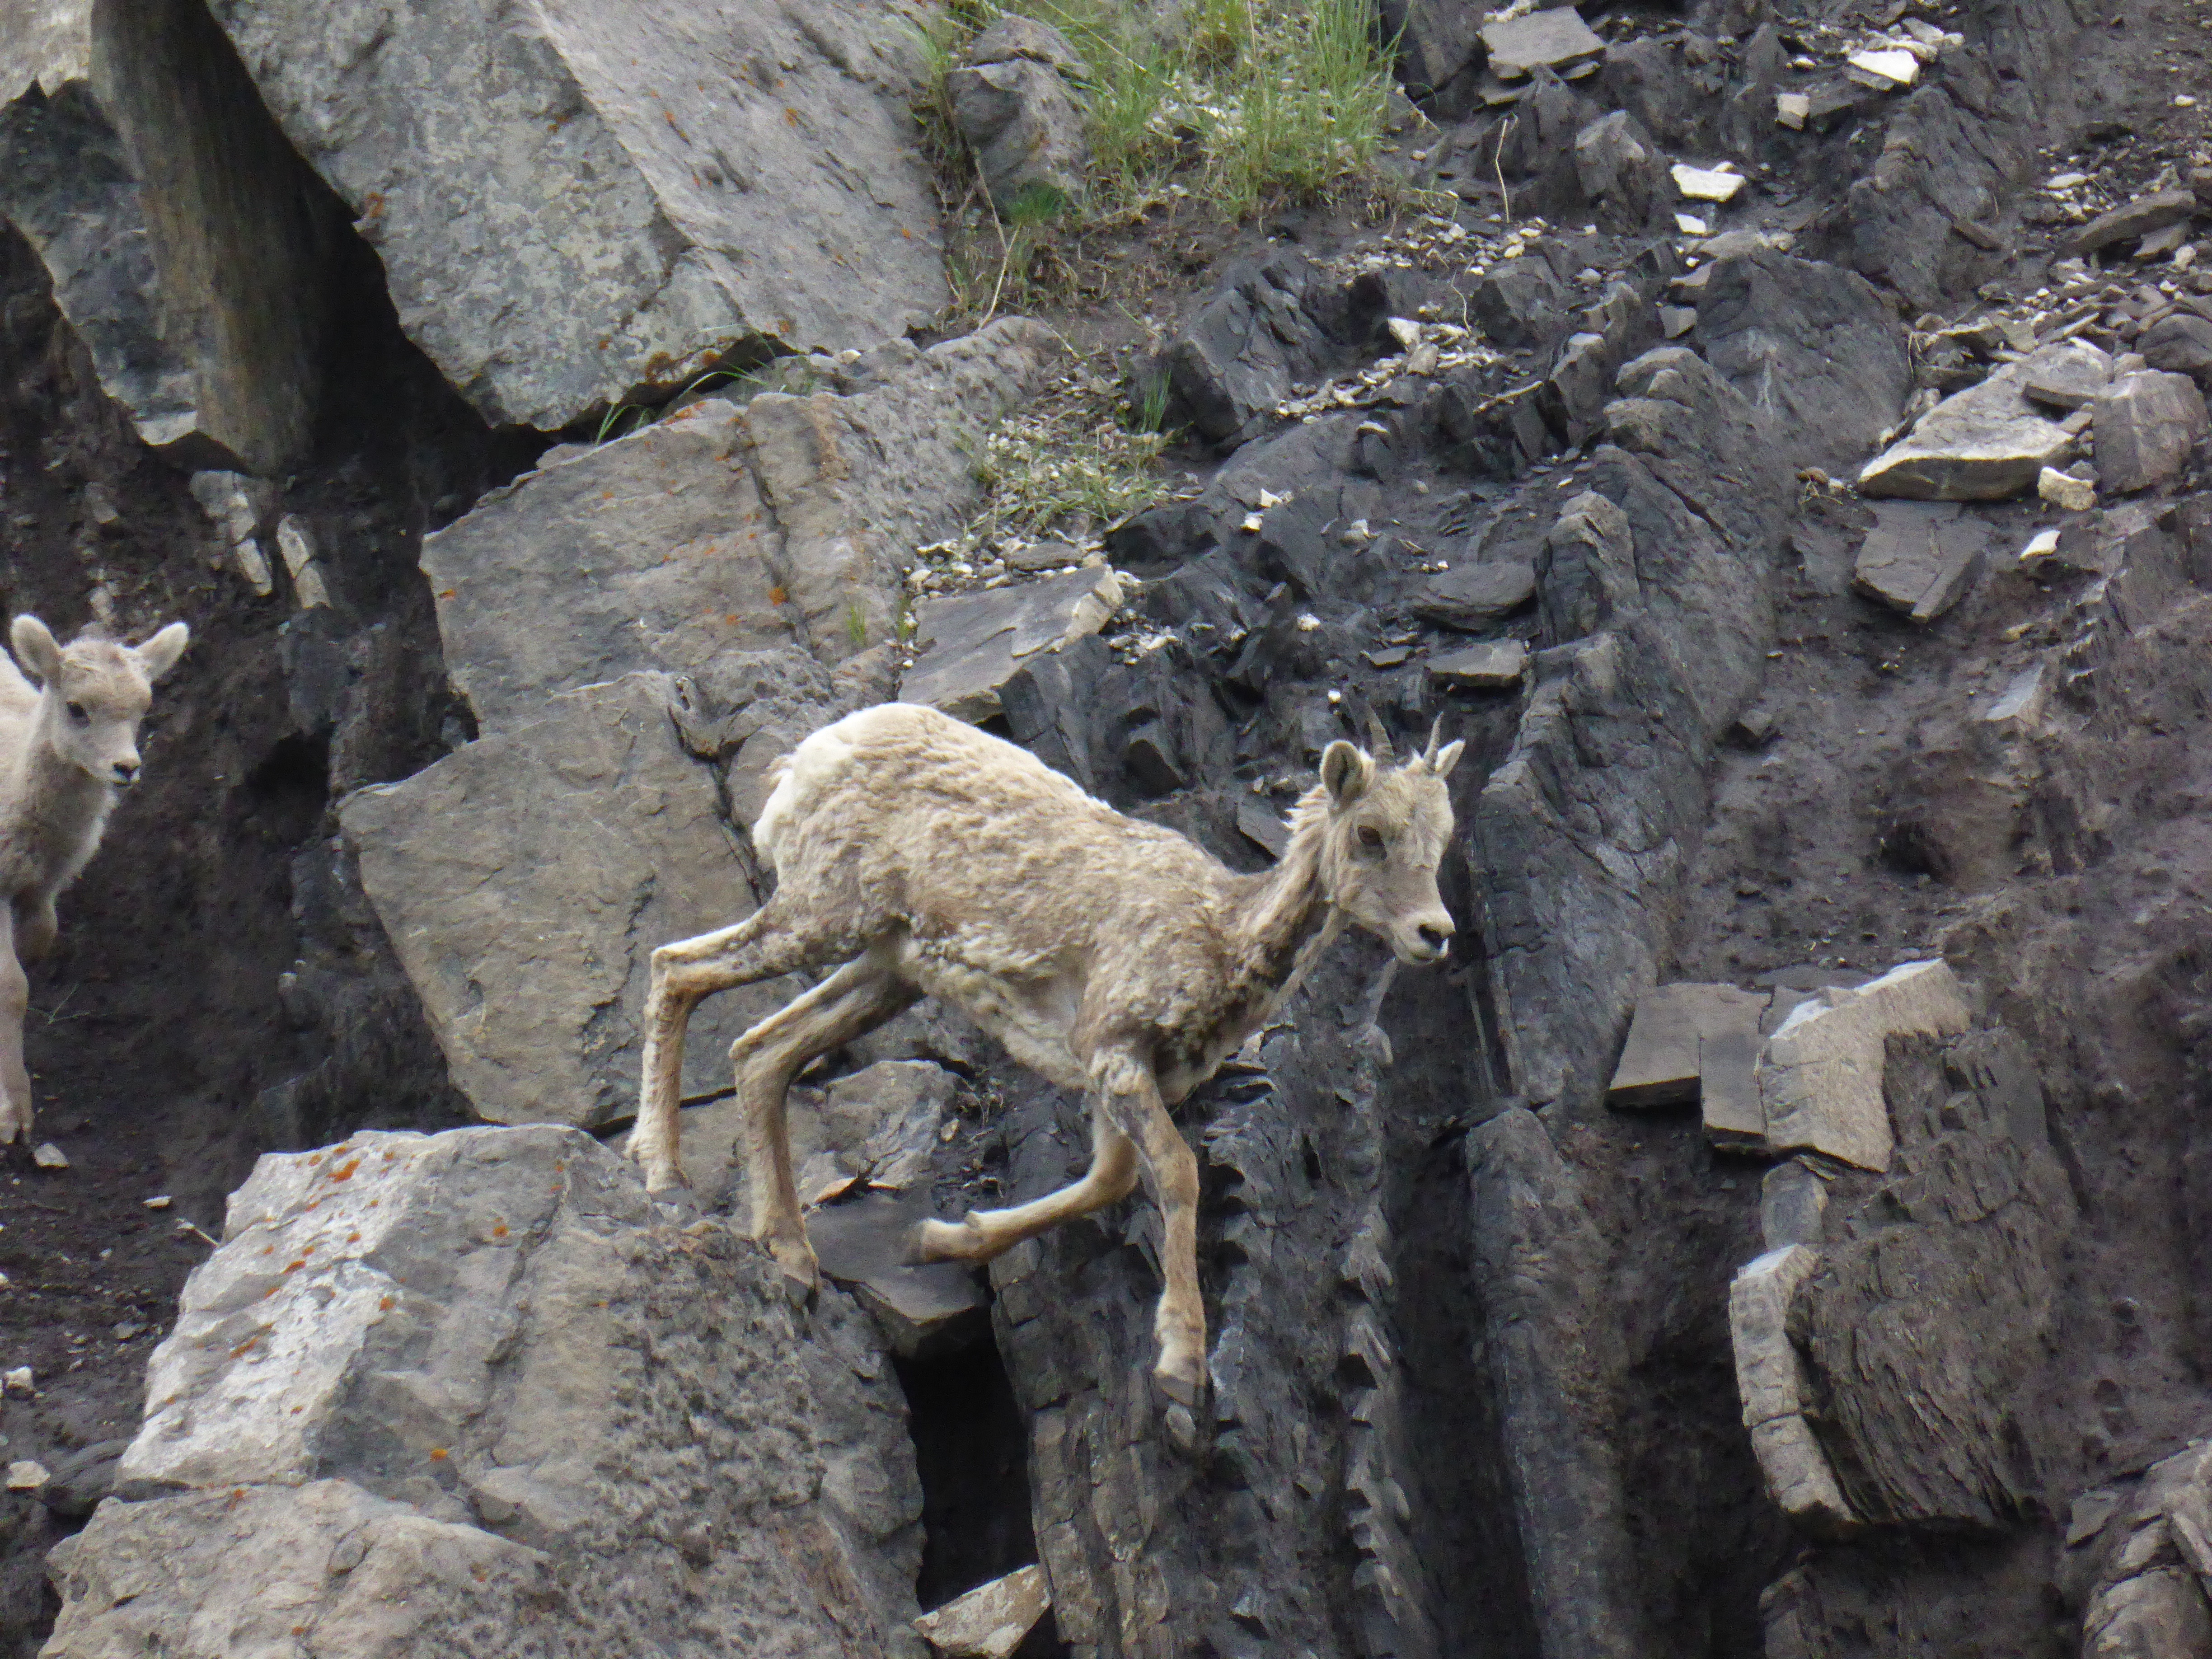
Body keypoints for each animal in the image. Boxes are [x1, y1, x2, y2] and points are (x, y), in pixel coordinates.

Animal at [2, 619, 190, 1150]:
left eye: (144, 708)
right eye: (76, 708)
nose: (127, 768)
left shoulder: (40, 890)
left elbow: (34, 956)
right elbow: (11, 987)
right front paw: (13, 1114)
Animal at [637, 703, 1468, 1415]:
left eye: (1443, 838)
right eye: (1370, 832)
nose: (1434, 932)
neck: (1220, 940)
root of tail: (807, 759)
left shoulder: (1119, 1080)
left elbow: (1109, 1182)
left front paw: (939, 1238)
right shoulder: (1112, 1051)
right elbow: (1176, 1173)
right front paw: (1182, 1368)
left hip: (887, 968)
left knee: (760, 1050)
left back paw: (790, 1256)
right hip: (821, 915)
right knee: (678, 968)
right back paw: (665, 1176)